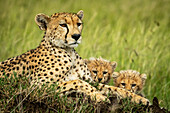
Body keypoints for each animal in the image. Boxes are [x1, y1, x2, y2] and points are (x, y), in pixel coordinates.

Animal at [0, 10, 149, 104]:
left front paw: (139, 98)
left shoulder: (92, 80)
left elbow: (114, 89)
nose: (76, 36)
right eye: (63, 25)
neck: (68, 51)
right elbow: (77, 82)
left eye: (79, 24)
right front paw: (99, 96)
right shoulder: (37, 87)